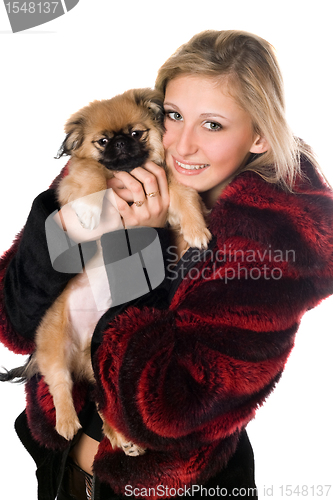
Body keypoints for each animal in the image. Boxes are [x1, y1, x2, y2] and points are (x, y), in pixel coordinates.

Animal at [0, 88, 210, 456]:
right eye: (103, 141)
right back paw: (66, 422)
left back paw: (123, 438)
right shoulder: (74, 182)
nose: (122, 144)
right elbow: (94, 174)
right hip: (54, 346)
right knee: (60, 385)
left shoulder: (166, 183)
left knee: (105, 402)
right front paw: (89, 209)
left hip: (104, 359)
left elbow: (183, 192)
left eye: (136, 133)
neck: (128, 171)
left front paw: (195, 230)